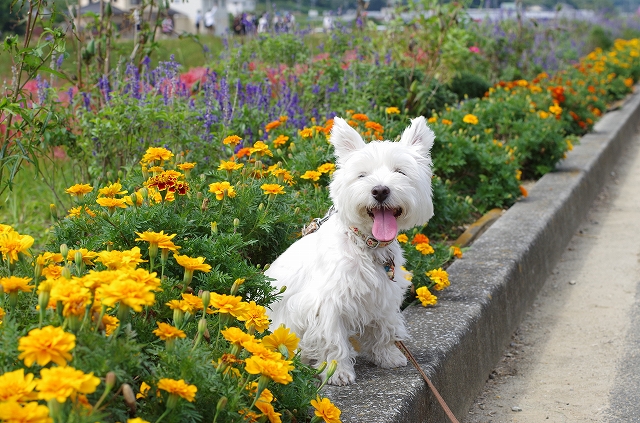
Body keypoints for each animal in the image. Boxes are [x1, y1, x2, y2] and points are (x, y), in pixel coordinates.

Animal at [264, 117, 436, 386]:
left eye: (400, 171)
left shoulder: (384, 294)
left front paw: (388, 356)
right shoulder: (327, 302)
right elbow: (333, 339)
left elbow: (385, 326)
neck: (367, 245)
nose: (380, 190)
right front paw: (338, 371)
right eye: (362, 175)